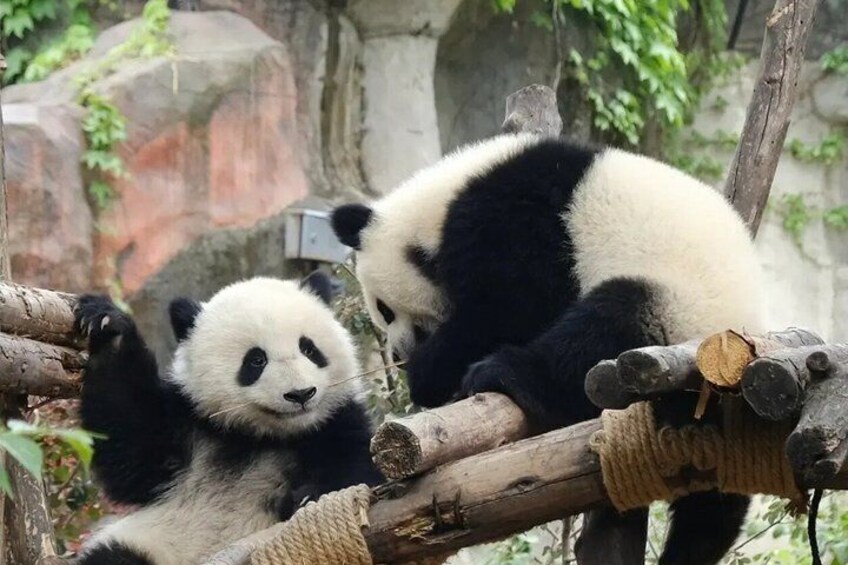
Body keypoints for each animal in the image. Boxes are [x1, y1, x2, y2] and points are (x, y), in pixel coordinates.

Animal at [74, 273, 382, 565]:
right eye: (256, 360)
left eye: (309, 349)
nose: (301, 394)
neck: (261, 436)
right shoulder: (187, 423)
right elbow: (129, 445)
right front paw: (109, 324)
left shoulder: (337, 420)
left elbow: (360, 468)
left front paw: (309, 496)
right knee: (110, 557)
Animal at [331, 133, 767, 565]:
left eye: (385, 310)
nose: (399, 356)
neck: (440, 202)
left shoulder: (514, 222)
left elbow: (507, 307)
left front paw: (430, 373)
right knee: (716, 500)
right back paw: (693, 546)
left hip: (677, 312)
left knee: (603, 331)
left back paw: (505, 372)